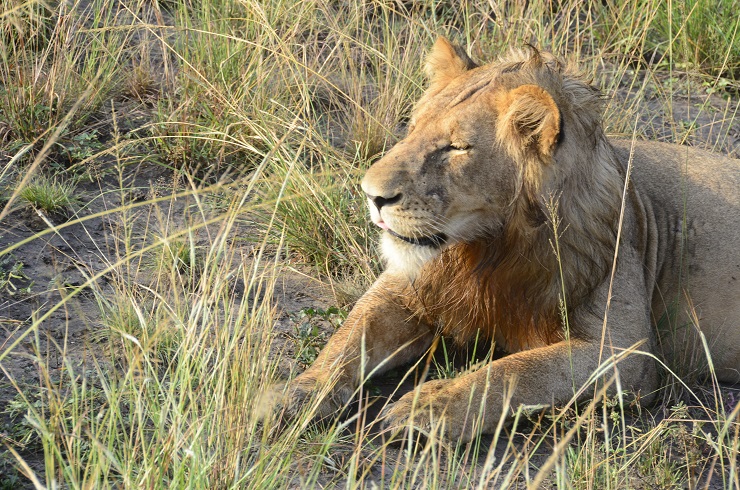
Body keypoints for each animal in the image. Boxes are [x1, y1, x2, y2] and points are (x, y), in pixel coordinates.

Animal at [272, 35, 740, 440]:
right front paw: (297, 393)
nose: (372, 195)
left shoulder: (628, 351)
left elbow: (515, 371)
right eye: (413, 127)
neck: (486, 249)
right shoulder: (410, 286)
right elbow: (350, 337)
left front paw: (430, 406)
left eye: (456, 148)